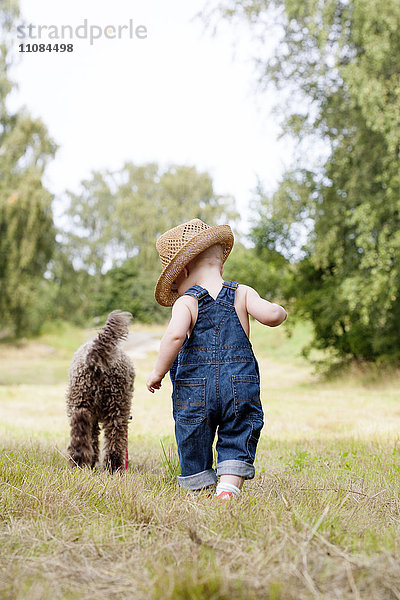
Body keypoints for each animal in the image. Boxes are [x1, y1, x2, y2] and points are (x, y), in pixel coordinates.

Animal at [66, 312, 134, 472]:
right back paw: (114, 467)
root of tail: (94, 361)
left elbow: (92, 439)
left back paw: (79, 462)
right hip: (117, 408)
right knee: (115, 440)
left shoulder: (91, 416)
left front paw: (91, 461)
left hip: (80, 406)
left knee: (80, 435)